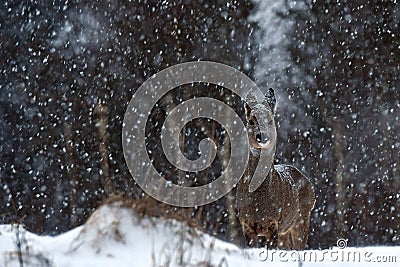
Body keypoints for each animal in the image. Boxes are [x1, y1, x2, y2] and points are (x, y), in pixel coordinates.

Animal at [234, 89, 316, 250]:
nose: (262, 136)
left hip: (302, 218)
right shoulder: (246, 223)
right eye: (251, 121)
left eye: (270, 121)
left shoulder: (273, 223)